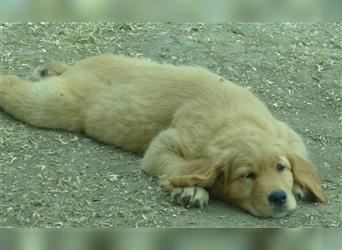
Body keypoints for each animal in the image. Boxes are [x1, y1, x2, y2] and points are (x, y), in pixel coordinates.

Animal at [0, 54, 326, 217]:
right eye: (247, 176)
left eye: (280, 167)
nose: (279, 198)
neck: (235, 119)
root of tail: (76, 66)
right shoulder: (164, 145)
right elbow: (178, 165)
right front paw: (190, 190)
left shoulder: (287, 133)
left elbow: (300, 153)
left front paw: (300, 184)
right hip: (54, 104)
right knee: (14, 86)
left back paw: (45, 70)